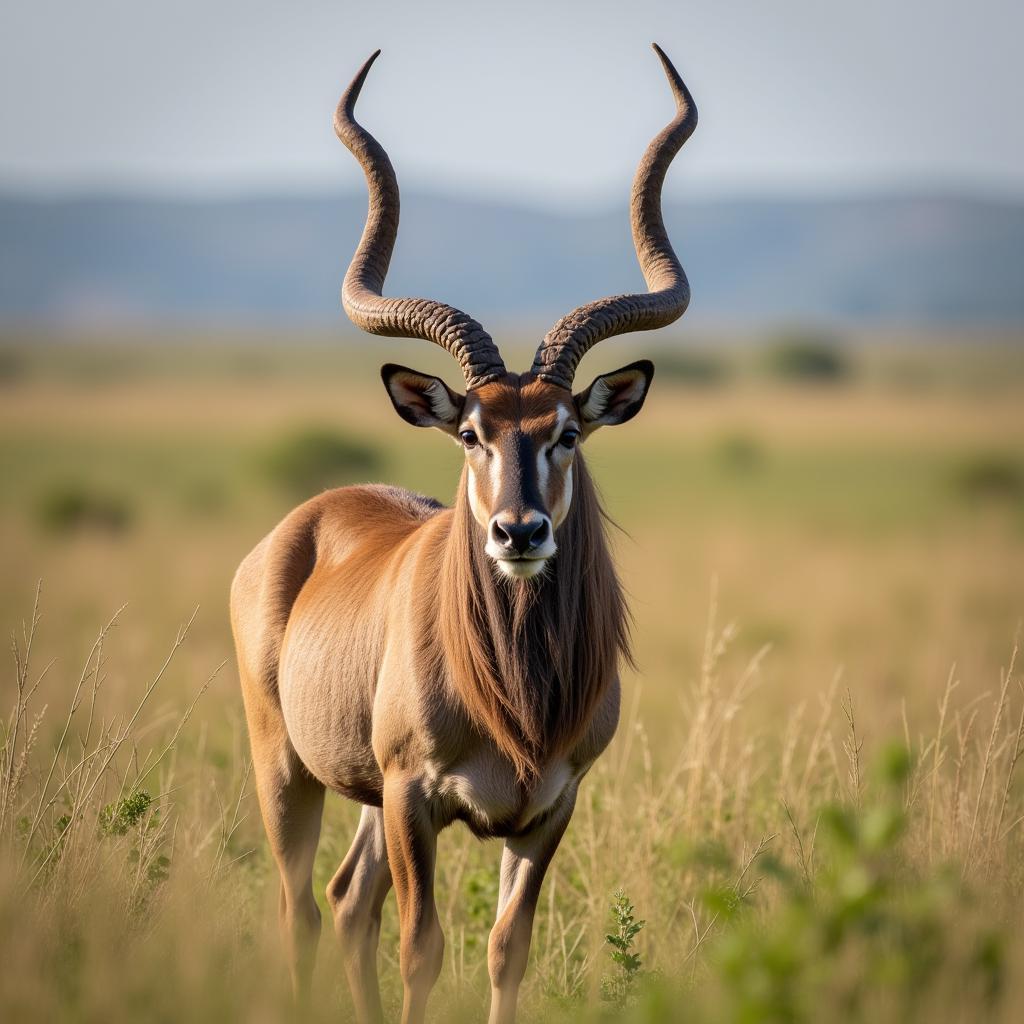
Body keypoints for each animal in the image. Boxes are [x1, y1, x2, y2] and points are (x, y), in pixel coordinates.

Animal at [232, 41, 696, 1024]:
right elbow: (423, 947)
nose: (519, 532)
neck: (514, 691)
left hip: (363, 798)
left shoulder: (547, 811)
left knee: (345, 902)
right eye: (473, 432)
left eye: (566, 430)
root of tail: (303, 525)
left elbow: (504, 948)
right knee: (302, 908)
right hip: (287, 770)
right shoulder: (416, 798)